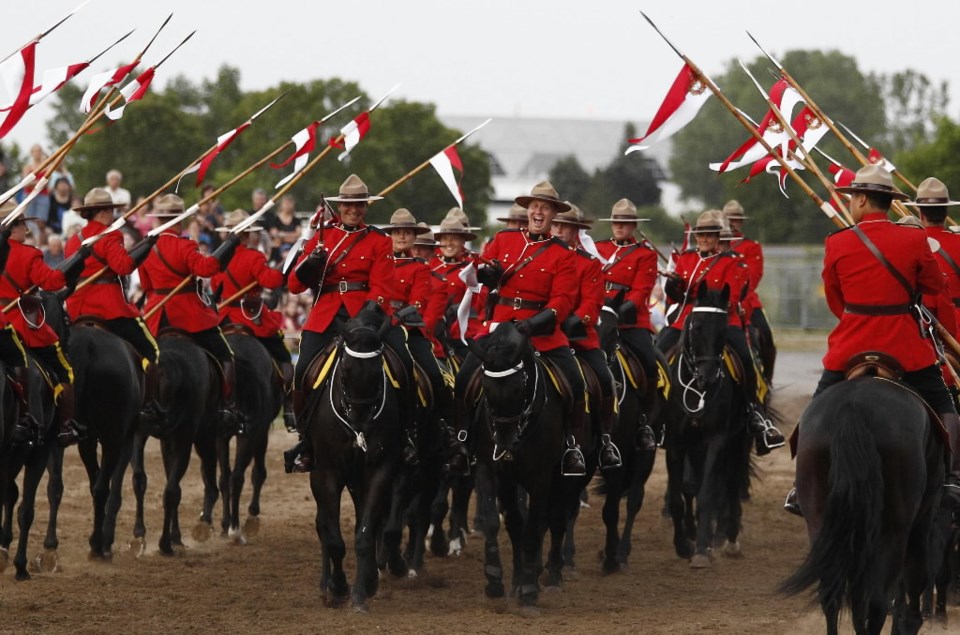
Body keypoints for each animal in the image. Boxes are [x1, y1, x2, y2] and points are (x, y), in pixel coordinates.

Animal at [310, 312, 404, 612]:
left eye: (377, 372)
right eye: (345, 370)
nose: (359, 425)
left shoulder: (380, 470)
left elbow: (365, 532)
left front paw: (362, 590)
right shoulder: (327, 472)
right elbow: (333, 538)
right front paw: (338, 587)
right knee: (323, 524)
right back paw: (326, 584)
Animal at [464, 322, 584, 612]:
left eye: (520, 387)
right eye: (485, 386)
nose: (506, 443)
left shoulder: (541, 478)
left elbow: (532, 529)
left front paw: (529, 589)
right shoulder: (491, 469)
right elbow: (502, 522)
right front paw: (498, 580)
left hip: (564, 479)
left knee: (555, 519)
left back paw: (550, 574)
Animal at [664, 284, 752, 568]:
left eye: (723, 329)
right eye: (697, 326)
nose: (710, 377)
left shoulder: (716, 439)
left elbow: (706, 494)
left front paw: (702, 549)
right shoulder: (676, 443)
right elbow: (680, 495)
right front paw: (683, 545)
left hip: (738, 440)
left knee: (731, 483)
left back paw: (730, 538)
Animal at [784, 380, 948, 632]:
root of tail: (852, 408)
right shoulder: (923, 518)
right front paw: (906, 622)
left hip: (821, 520)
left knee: (833, 595)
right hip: (895, 528)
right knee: (878, 599)